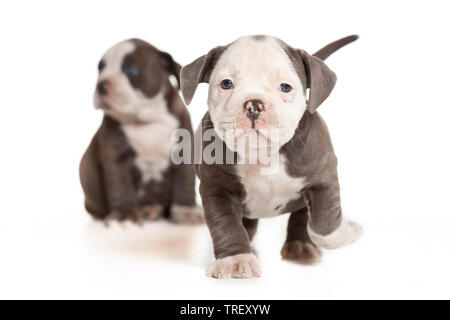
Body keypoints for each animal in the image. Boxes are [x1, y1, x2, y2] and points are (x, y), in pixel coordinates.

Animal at [80, 38, 203, 225]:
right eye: (100, 69)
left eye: (131, 69)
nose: (101, 84)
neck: (145, 120)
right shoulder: (115, 158)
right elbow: (120, 186)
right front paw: (124, 215)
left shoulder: (184, 152)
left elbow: (185, 182)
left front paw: (186, 211)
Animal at [181, 34, 360, 278]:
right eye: (226, 83)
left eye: (285, 87)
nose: (254, 105)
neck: (263, 154)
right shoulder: (216, 189)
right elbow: (226, 225)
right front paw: (235, 260)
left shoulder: (324, 176)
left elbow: (324, 226)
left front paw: (349, 231)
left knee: (303, 215)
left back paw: (301, 245)